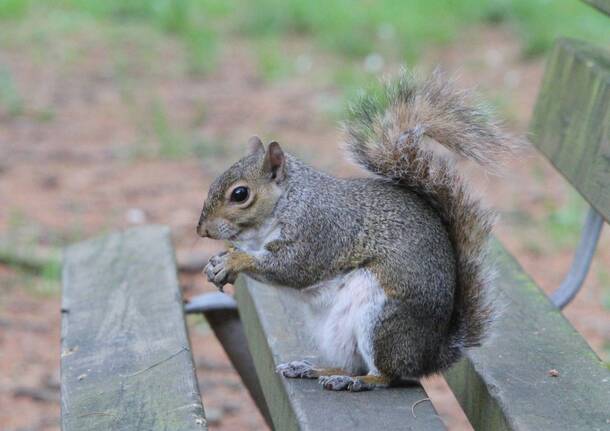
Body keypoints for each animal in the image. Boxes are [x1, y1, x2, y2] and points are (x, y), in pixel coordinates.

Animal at [197, 70, 510, 392]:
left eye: (240, 194)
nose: (202, 230)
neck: (288, 201)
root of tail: (428, 355)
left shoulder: (320, 230)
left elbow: (292, 268)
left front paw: (235, 260)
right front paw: (218, 261)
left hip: (382, 320)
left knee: (386, 374)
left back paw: (355, 381)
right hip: (337, 335)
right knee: (352, 363)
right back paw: (313, 369)